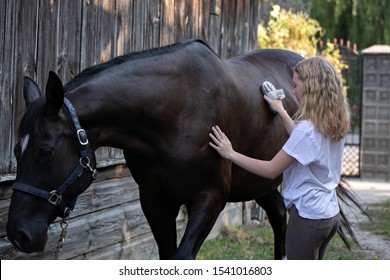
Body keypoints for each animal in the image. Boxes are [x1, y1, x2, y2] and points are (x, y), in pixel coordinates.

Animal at [6, 38, 304, 260]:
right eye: (17, 152)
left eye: (45, 151)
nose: (18, 234)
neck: (178, 112)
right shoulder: (155, 200)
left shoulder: (210, 198)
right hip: (260, 180)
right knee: (279, 217)